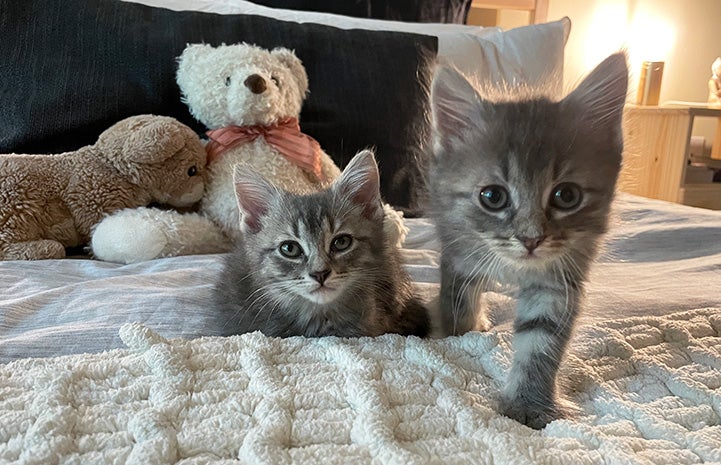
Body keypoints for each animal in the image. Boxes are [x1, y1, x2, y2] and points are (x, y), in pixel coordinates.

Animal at [430, 52, 628, 426]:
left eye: (567, 196)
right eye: (492, 197)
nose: (531, 239)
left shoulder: (558, 279)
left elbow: (540, 342)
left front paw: (528, 404)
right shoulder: (459, 253)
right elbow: (458, 304)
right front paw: (460, 335)